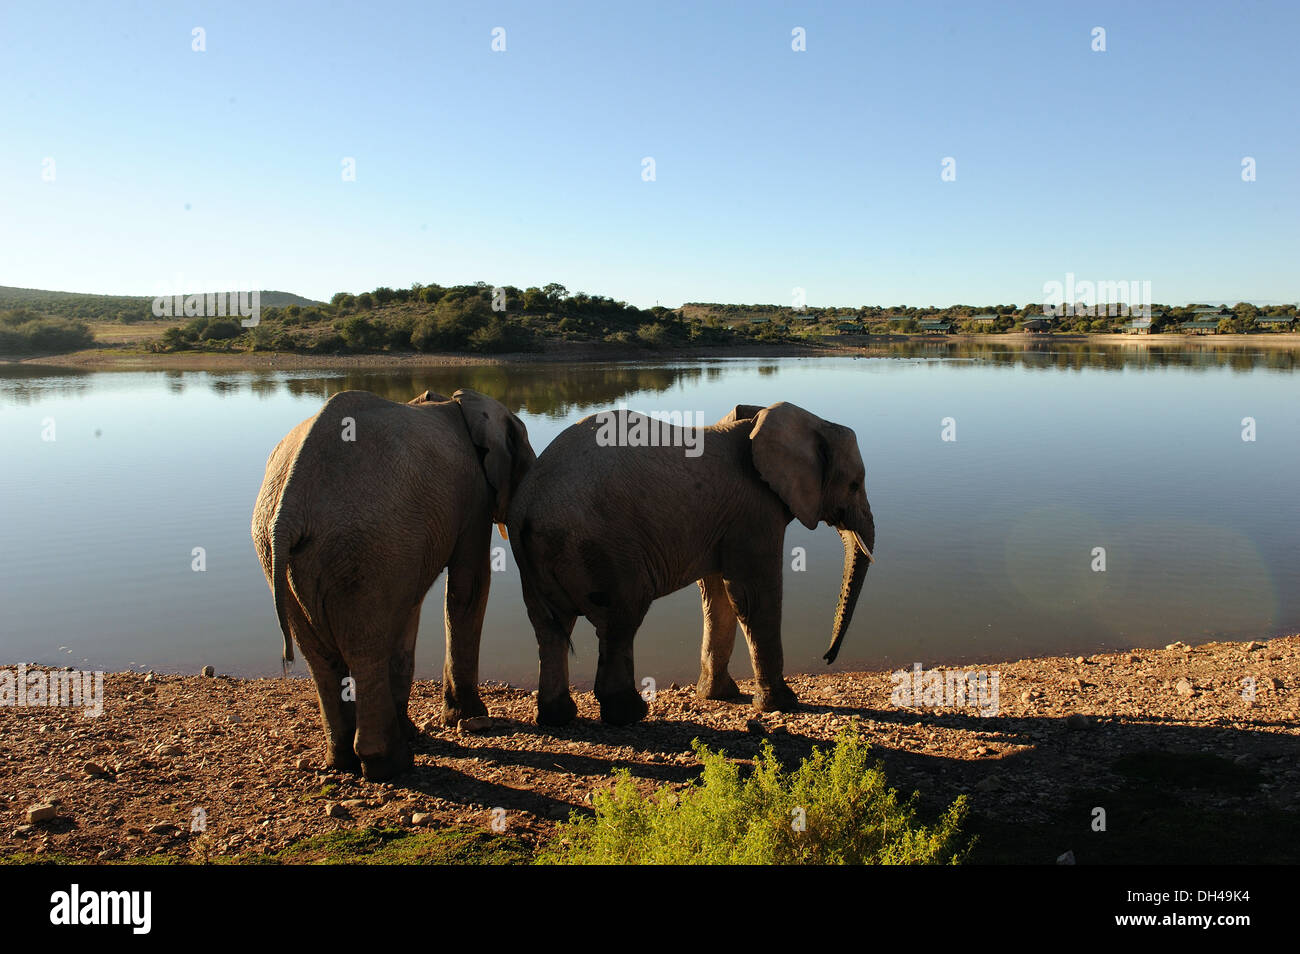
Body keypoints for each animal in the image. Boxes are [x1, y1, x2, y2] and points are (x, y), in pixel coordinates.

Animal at [251, 387, 534, 780]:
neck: (459, 400)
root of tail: (289, 510)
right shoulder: (473, 497)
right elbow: (469, 588)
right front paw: (471, 718)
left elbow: (409, 612)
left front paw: (422, 728)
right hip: (362, 548)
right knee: (364, 648)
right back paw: (389, 764)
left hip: (283, 555)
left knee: (320, 655)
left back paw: (344, 759)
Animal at [507, 401, 875, 726]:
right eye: (854, 484)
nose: (827, 658)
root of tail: (528, 506)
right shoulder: (755, 513)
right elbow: (753, 598)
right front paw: (782, 704)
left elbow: (718, 598)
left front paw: (719, 695)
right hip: (602, 549)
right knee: (619, 622)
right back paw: (629, 715)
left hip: (536, 559)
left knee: (549, 628)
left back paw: (557, 718)